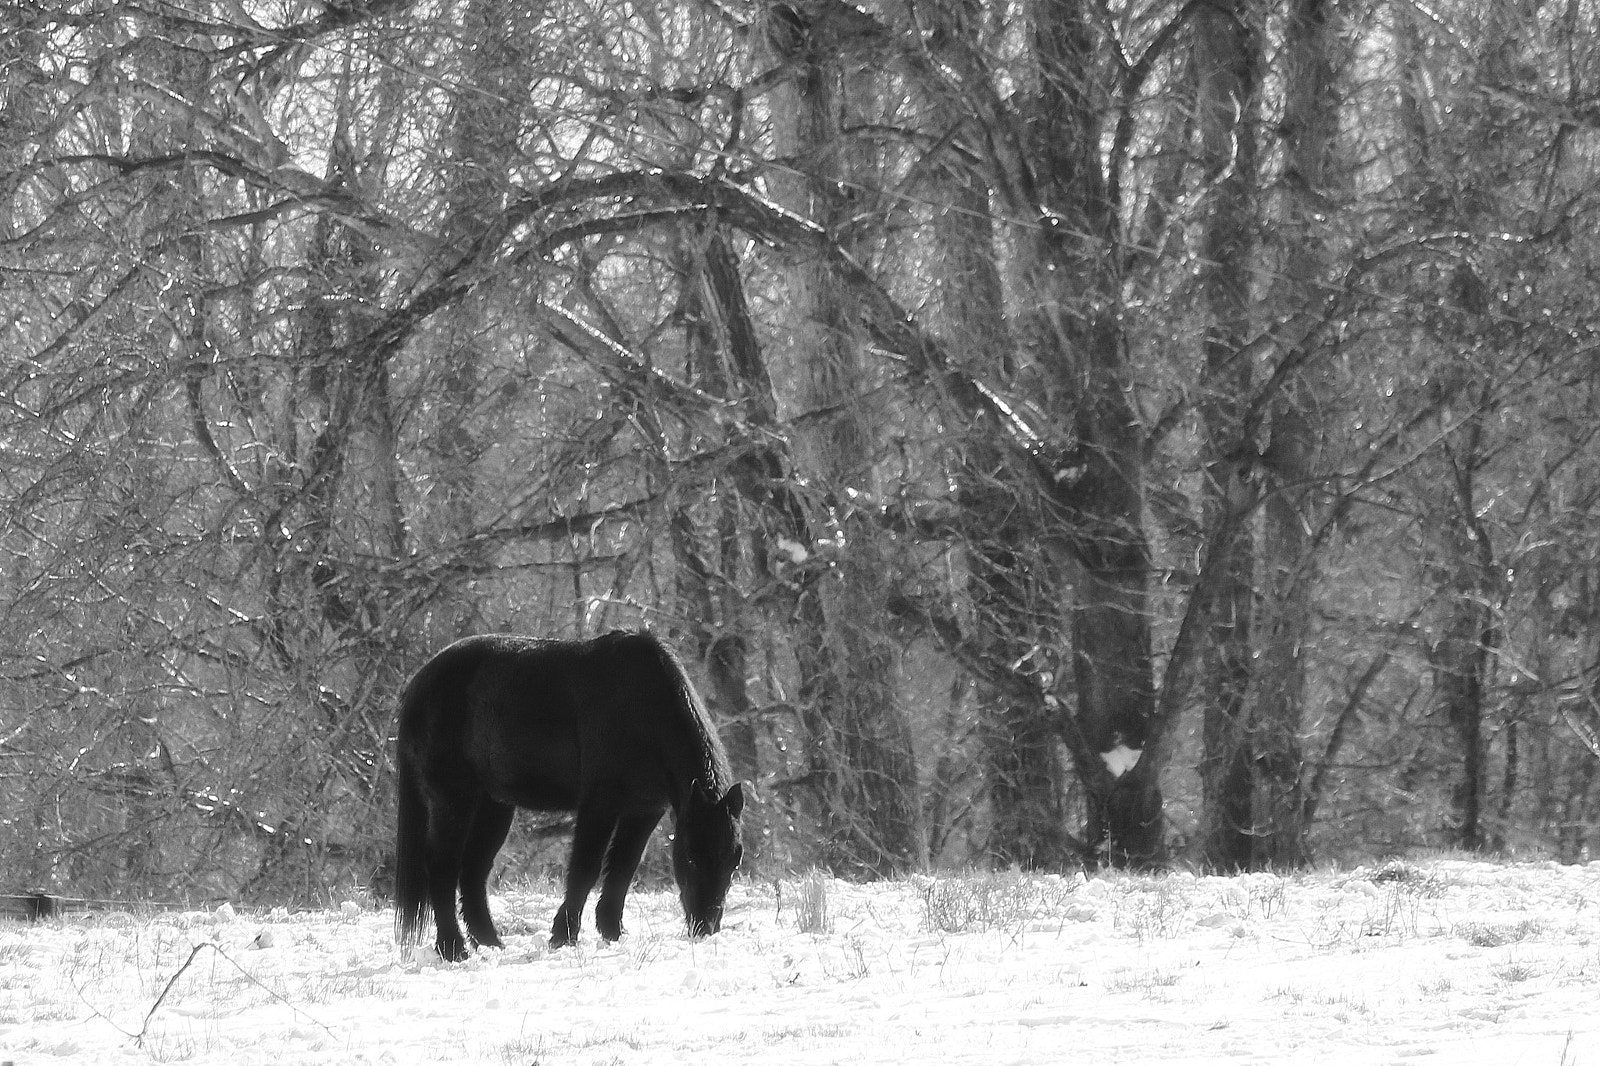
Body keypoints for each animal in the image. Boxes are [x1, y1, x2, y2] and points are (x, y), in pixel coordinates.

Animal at [393, 629, 745, 961]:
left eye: (734, 858)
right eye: (691, 856)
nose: (706, 927)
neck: (642, 705)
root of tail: (418, 685)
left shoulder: (644, 810)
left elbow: (623, 866)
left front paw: (611, 932)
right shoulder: (599, 805)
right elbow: (585, 869)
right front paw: (563, 936)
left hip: (494, 805)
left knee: (474, 870)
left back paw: (491, 943)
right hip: (454, 799)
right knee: (443, 866)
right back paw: (452, 948)